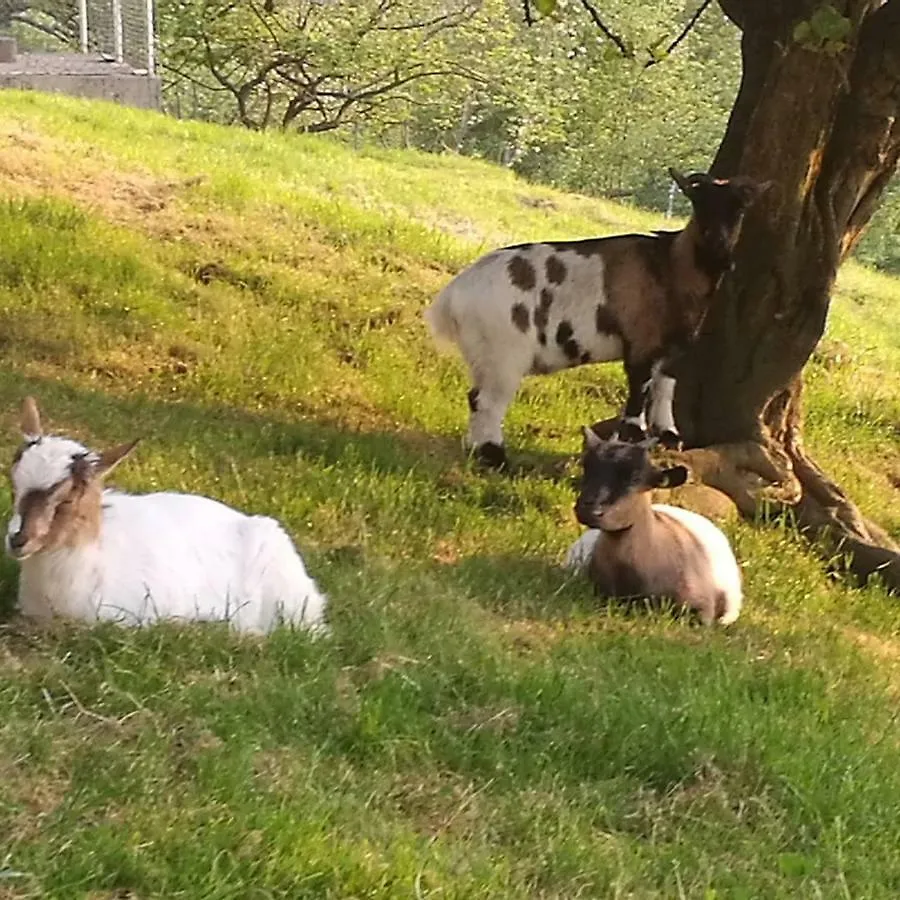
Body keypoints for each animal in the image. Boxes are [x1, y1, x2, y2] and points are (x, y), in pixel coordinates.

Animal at [426, 167, 768, 472]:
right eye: (699, 204)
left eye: (740, 209)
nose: (721, 252)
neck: (670, 264)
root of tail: (453, 294)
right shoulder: (640, 347)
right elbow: (636, 404)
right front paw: (633, 444)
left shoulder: (674, 348)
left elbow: (665, 386)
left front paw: (669, 436)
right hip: (503, 351)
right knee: (489, 401)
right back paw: (496, 459)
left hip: (483, 353)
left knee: (475, 397)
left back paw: (477, 452)